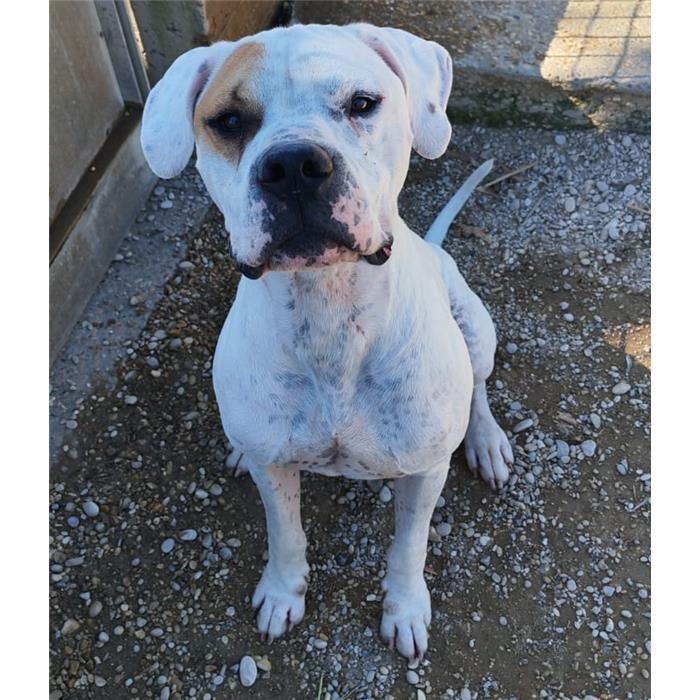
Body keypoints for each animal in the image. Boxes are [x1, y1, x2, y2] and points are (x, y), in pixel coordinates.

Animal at [141, 22, 513, 662]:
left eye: (362, 104)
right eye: (229, 121)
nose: (293, 165)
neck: (329, 315)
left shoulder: (423, 473)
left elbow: (409, 546)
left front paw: (405, 608)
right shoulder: (275, 469)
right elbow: (285, 532)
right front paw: (282, 593)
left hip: (476, 328)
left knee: (480, 386)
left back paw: (485, 439)